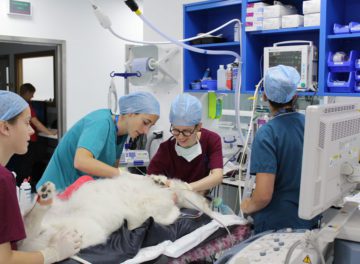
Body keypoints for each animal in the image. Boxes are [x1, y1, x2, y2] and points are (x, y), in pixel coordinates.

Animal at [19, 172, 211, 251]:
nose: (208, 200)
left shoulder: (152, 215)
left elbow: (170, 212)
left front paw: (160, 181)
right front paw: (158, 180)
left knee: (30, 227)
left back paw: (45, 196)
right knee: (30, 226)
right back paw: (44, 195)